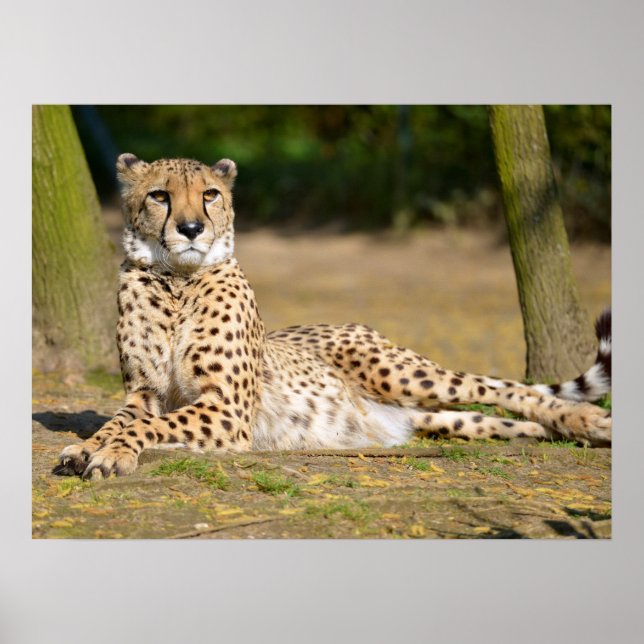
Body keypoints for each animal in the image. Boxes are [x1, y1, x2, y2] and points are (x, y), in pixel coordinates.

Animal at [54, 153, 612, 480]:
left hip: (401, 372)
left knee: (505, 388)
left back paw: (589, 420)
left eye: (209, 194)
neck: (177, 280)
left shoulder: (226, 410)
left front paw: (109, 453)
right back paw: (557, 432)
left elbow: (146, 427)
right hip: (433, 412)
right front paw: (90, 447)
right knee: (492, 417)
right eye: (159, 195)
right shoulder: (144, 394)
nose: (191, 228)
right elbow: (117, 422)